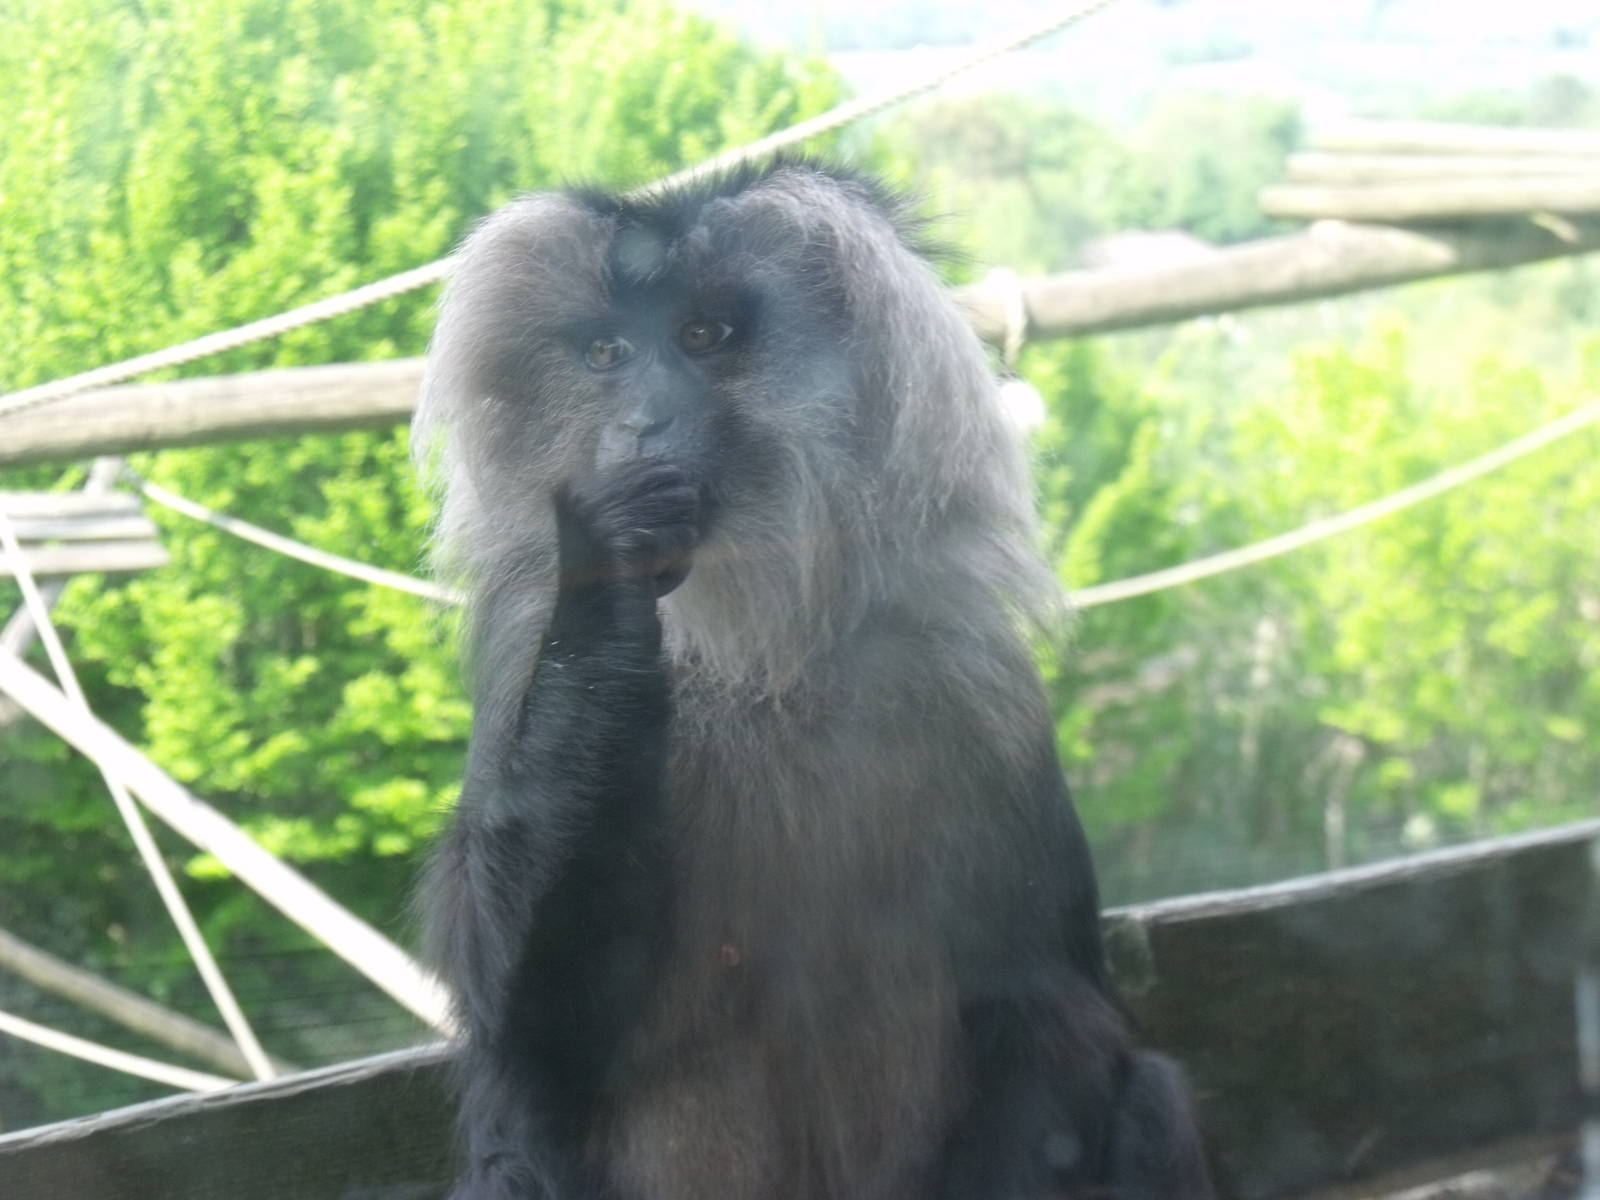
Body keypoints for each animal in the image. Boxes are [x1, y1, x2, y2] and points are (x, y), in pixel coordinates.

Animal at [412, 162, 1213, 1200]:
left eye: (704, 337)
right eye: (606, 352)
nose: (642, 424)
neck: (758, 660)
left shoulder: (971, 679)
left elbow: (1045, 1004)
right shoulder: (521, 650)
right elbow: (525, 1021)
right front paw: (613, 556)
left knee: (1144, 1090)